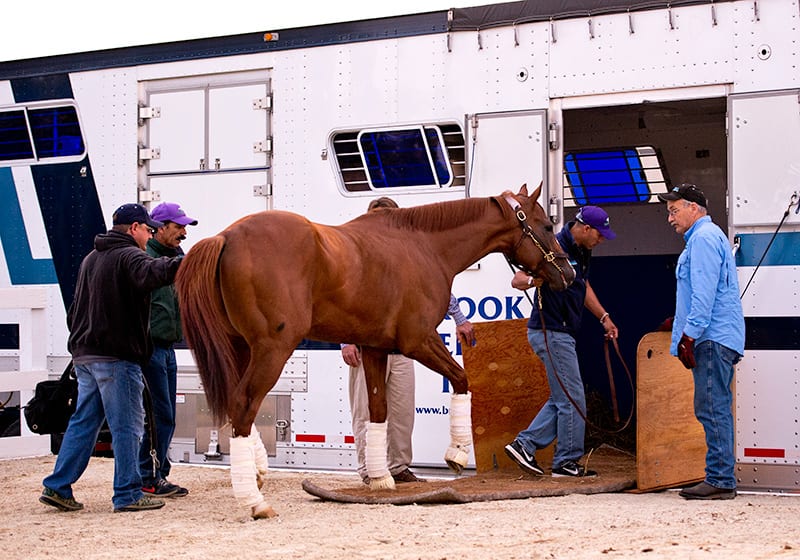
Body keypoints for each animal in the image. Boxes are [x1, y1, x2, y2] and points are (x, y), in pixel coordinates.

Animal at [176, 186, 576, 520]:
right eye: (545, 224)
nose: (568, 274)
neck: (423, 246)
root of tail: (225, 237)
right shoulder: (418, 341)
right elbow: (462, 380)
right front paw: (457, 453)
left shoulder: (375, 348)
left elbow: (379, 409)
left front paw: (382, 478)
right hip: (272, 349)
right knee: (244, 404)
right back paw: (254, 501)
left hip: (242, 348)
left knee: (238, 404)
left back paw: (258, 472)